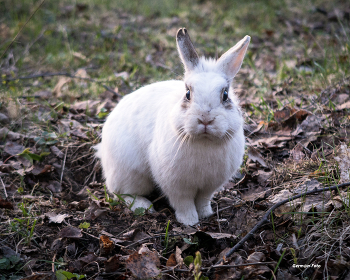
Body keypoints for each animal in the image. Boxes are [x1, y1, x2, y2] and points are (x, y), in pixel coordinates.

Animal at [94, 27, 250, 225]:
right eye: (188, 94)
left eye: (225, 95)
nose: (205, 119)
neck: (204, 141)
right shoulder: (176, 186)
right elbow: (183, 203)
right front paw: (190, 221)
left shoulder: (209, 186)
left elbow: (203, 200)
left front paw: (206, 215)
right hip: (130, 174)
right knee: (122, 193)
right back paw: (144, 206)